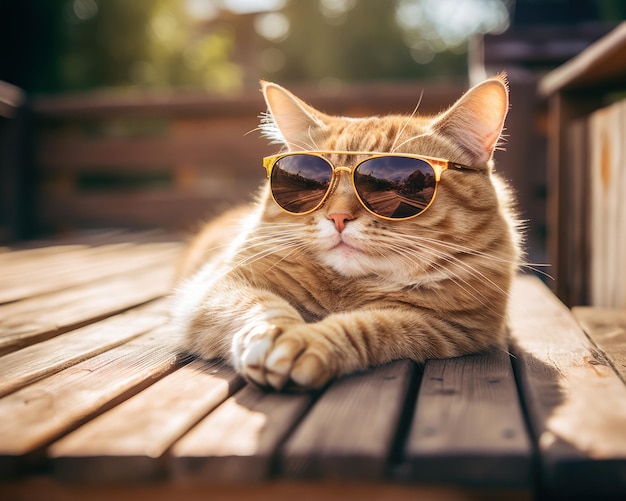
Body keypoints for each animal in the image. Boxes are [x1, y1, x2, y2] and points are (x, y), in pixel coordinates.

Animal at [171, 77, 516, 390]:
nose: (337, 216)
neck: (346, 286)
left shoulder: (446, 327)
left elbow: (371, 324)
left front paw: (308, 340)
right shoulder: (220, 286)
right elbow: (262, 305)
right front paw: (274, 331)